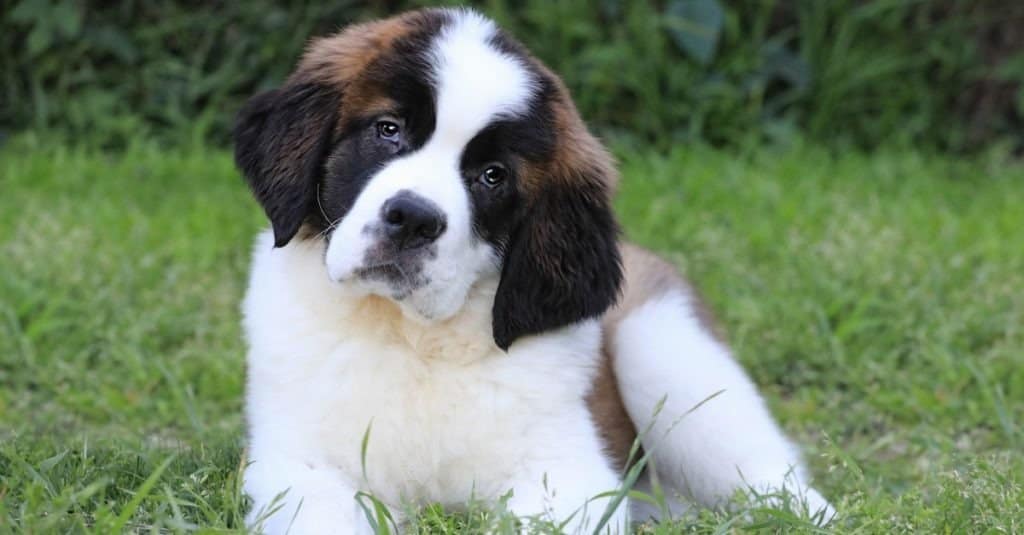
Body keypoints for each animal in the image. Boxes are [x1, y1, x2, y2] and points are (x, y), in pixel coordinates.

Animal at [235, 6, 835, 528]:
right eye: (388, 130)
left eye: (492, 176)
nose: (412, 220)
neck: (413, 338)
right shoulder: (297, 465)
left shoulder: (571, 477)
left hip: (665, 351)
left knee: (777, 483)